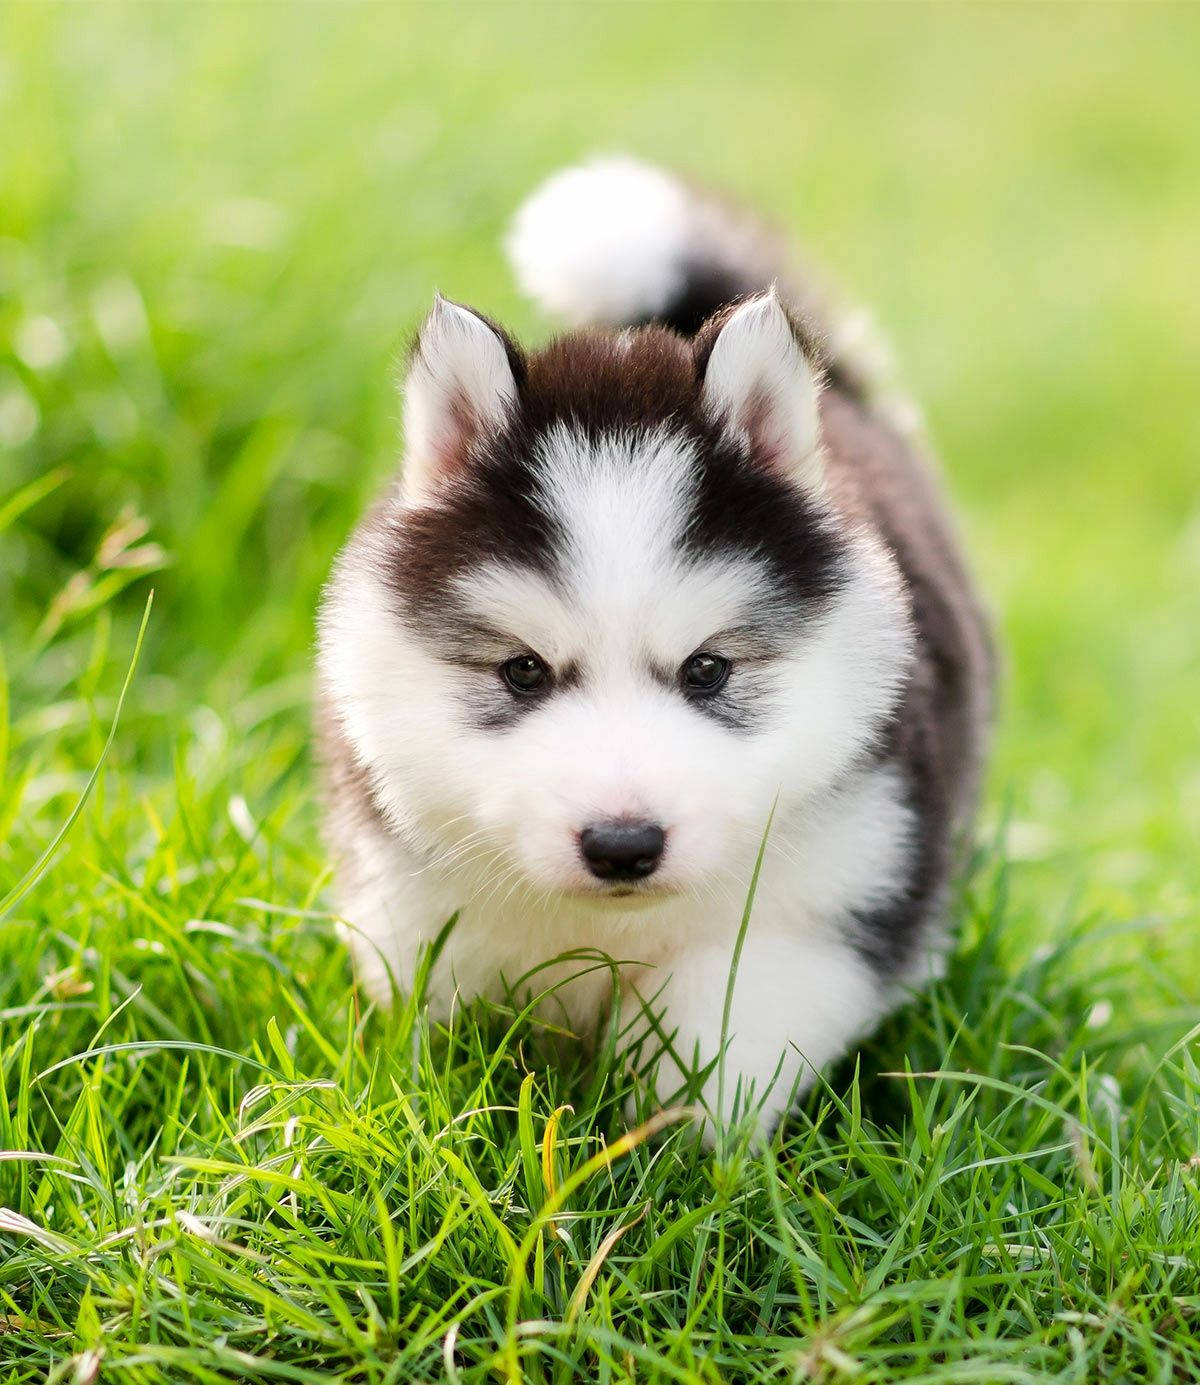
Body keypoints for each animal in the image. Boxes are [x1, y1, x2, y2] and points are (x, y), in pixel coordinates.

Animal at [318, 157, 992, 1141]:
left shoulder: (831, 897)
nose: (623, 844)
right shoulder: (416, 904)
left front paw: (669, 1147)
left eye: (707, 669)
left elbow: (712, 1029)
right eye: (523, 670)